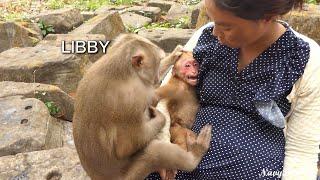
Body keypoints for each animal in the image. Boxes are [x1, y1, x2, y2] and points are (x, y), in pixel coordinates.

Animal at [73, 34, 212, 180]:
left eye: (195, 64)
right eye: (187, 65)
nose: (156, 77)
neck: (120, 71)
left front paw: (174, 54)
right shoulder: (132, 100)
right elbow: (126, 147)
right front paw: (160, 117)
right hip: (130, 175)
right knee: (155, 151)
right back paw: (194, 156)